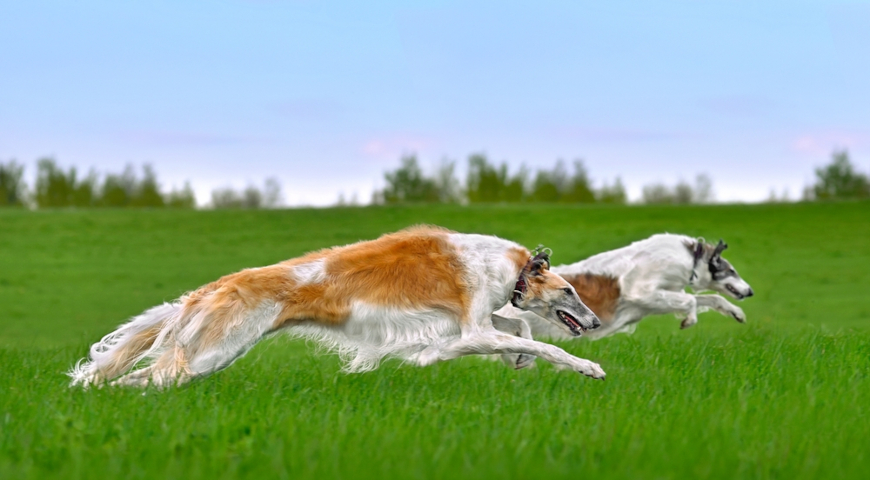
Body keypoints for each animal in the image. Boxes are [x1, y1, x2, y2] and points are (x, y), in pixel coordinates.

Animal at [69, 226, 606, 388]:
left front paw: (518, 359)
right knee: (145, 378)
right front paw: (589, 366)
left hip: (209, 355)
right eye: (570, 291)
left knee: (138, 378)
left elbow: (520, 329)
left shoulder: (473, 322)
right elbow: (541, 342)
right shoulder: (469, 329)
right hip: (212, 353)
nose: (597, 322)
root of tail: (213, 287)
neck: (507, 266)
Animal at [494, 234, 754, 358]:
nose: (750, 291)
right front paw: (688, 320)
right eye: (731, 270)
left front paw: (737, 313)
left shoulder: (657, 299)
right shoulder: (642, 291)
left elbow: (710, 299)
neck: (691, 258)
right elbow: (691, 301)